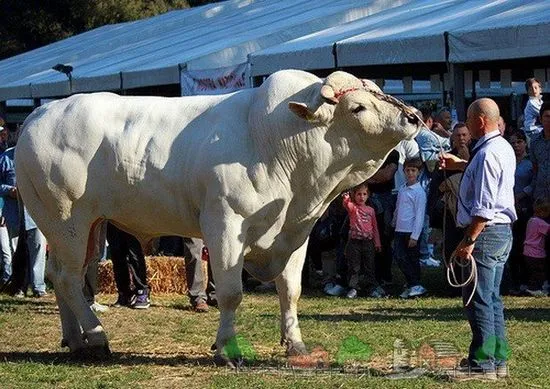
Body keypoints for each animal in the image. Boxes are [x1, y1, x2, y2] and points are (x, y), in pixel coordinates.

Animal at [16, 69, 422, 360]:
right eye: (358, 108)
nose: (414, 116)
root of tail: (41, 112)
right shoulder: (225, 226)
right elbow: (229, 293)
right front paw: (227, 348)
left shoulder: (296, 234)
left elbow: (290, 290)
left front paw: (295, 345)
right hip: (66, 219)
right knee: (68, 278)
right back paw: (97, 337)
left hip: (85, 227)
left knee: (59, 276)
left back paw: (75, 339)